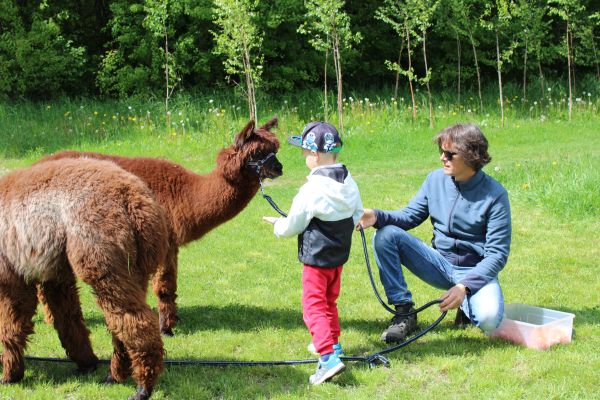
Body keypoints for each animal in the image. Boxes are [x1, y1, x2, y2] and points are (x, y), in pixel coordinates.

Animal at [0, 158, 169, 400]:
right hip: (133, 266)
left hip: (100, 249)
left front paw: (10, 375)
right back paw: (114, 375)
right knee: (120, 320)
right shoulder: (55, 274)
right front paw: (86, 363)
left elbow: (12, 324)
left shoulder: (12, 271)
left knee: (134, 320)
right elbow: (67, 317)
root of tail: (136, 202)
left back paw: (142, 388)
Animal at [38, 117, 283, 335]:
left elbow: (171, 285)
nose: (279, 168)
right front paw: (166, 328)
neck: (186, 195)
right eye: (257, 153)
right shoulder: (161, 240)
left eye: (276, 150)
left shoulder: (171, 242)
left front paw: (172, 320)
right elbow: (164, 286)